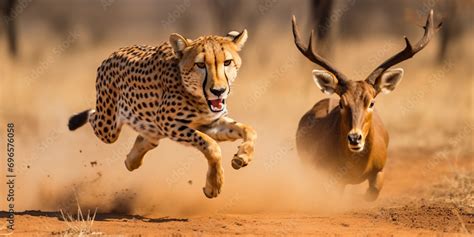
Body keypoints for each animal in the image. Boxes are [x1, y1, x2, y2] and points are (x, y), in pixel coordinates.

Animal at [66, 30, 256, 199]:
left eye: (227, 62)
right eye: (200, 65)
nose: (219, 91)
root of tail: (114, 53)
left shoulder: (208, 123)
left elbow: (249, 130)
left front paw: (242, 156)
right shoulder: (169, 123)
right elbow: (211, 146)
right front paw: (214, 185)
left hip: (146, 127)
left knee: (147, 139)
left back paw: (132, 160)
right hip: (108, 127)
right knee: (93, 116)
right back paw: (75, 121)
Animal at [292, 10, 440, 201]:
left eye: (372, 102)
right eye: (342, 102)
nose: (355, 138)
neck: (357, 168)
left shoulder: (380, 169)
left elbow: (372, 193)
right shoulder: (331, 177)